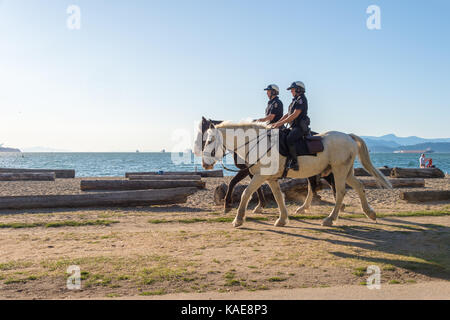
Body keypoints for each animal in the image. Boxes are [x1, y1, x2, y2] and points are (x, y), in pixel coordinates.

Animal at [199, 120, 392, 228]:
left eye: (209, 140)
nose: (204, 164)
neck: (256, 143)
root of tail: (349, 137)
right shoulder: (270, 178)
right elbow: (278, 197)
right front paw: (282, 219)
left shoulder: (260, 176)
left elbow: (246, 193)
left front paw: (238, 219)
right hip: (346, 172)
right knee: (359, 186)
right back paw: (369, 213)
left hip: (338, 170)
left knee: (340, 192)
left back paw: (330, 219)